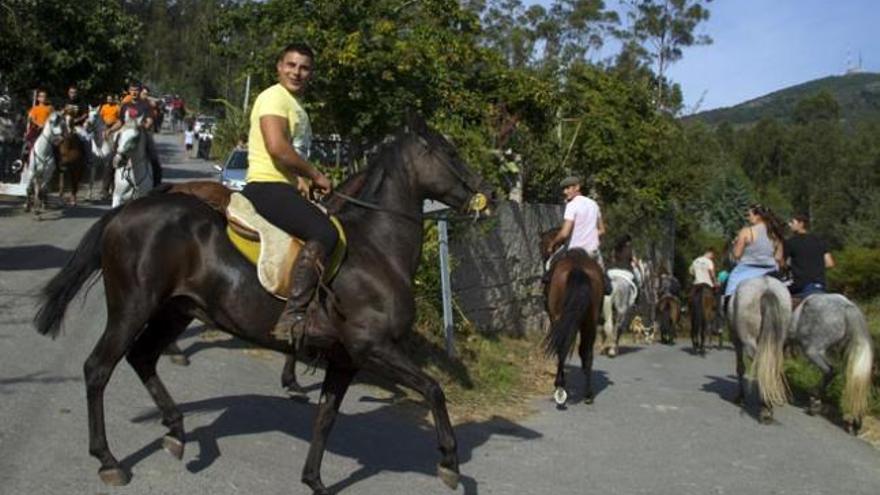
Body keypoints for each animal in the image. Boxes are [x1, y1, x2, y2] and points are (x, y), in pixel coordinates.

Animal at [540, 231, 608, 408]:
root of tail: (578, 268)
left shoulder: (555, 319)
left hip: (559, 318)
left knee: (562, 348)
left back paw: (560, 388)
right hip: (590, 321)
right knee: (587, 352)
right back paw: (588, 394)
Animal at [788, 294, 868, 434]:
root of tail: (846, 306)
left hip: (812, 350)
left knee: (830, 371)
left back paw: (815, 402)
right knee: (852, 381)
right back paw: (855, 421)